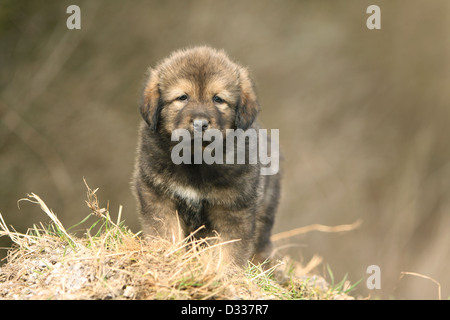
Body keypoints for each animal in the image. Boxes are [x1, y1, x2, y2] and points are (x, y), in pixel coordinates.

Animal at [132, 46, 280, 266]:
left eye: (218, 99)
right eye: (182, 97)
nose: (200, 123)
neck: (196, 158)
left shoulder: (235, 209)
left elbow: (229, 251)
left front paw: (224, 272)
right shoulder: (159, 196)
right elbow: (166, 233)